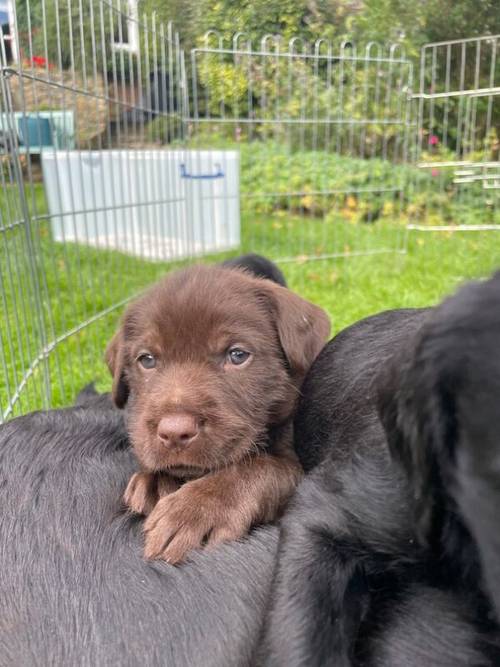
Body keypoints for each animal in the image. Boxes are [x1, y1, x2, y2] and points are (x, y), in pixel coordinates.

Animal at [107, 264, 330, 564]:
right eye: (147, 360)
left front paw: (197, 509)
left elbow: (261, 467)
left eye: (237, 355)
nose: (174, 432)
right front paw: (155, 478)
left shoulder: (302, 467)